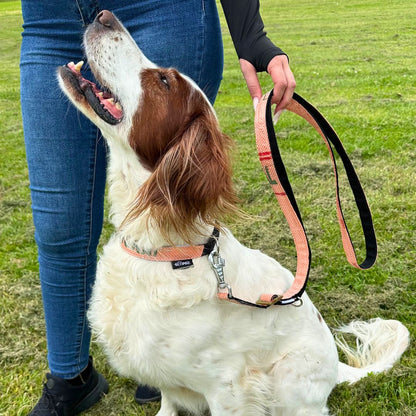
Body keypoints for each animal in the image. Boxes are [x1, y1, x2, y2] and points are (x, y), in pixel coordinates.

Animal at [58, 10, 410, 416]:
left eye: (163, 80)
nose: (104, 16)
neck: (164, 248)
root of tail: (336, 369)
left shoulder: (227, 386)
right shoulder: (168, 380)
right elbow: (167, 401)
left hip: (290, 375)